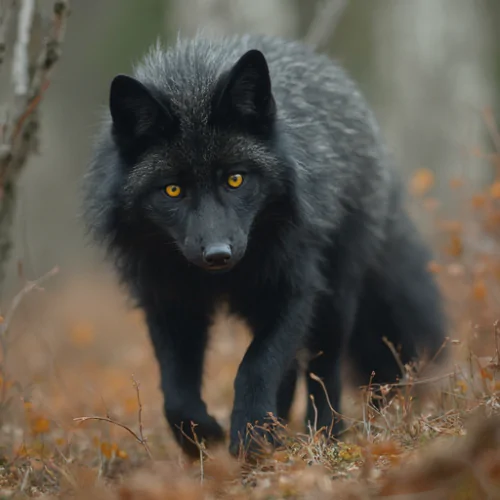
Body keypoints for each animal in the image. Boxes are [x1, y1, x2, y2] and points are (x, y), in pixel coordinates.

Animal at [83, 33, 450, 458]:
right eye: (172, 190)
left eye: (235, 179)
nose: (218, 254)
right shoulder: (168, 301)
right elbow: (175, 394)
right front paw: (204, 436)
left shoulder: (294, 290)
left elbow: (255, 366)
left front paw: (250, 436)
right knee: (290, 370)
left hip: (335, 296)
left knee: (324, 366)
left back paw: (324, 432)